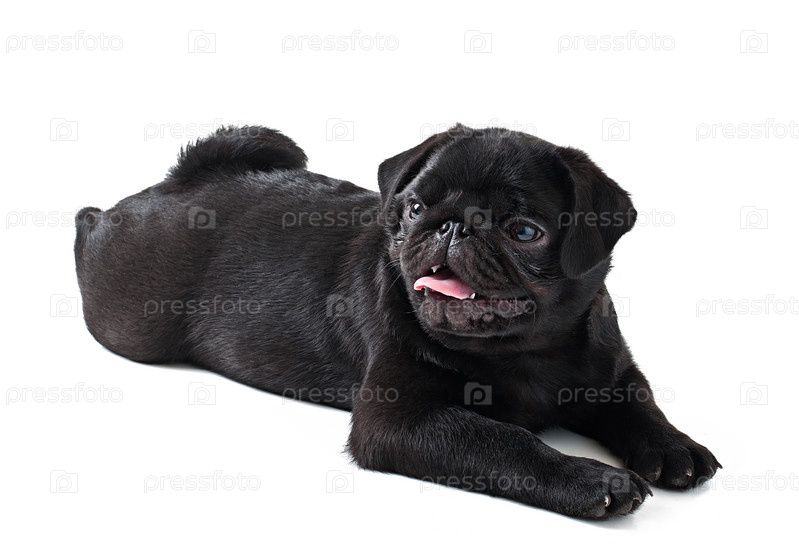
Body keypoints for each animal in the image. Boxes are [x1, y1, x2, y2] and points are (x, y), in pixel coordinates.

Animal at [74, 125, 720, 518]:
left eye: (524, 231)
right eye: (413, 208)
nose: (452, 224)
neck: (526, 351)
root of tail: (186, 180)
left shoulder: (612, 373)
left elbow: (641, 406)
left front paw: (675, 447)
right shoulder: (400, 419)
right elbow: (505, 442)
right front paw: (594, 480)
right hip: (130, 310)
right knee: (90, 227)